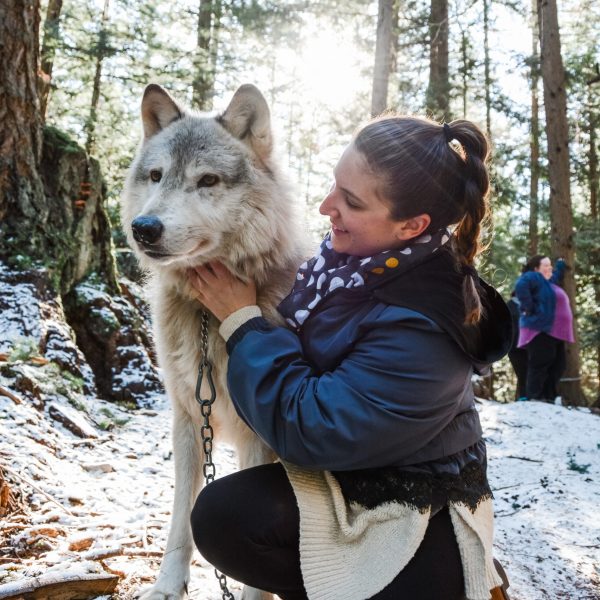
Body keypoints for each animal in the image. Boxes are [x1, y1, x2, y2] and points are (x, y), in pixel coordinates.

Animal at [123, 84, 310, 600]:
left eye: (207, 180)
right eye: (156, 176)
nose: (144, 228)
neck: (210, 317)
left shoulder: (257, 436)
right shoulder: (188, 418)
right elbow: (182, 515)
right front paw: (168, 585)